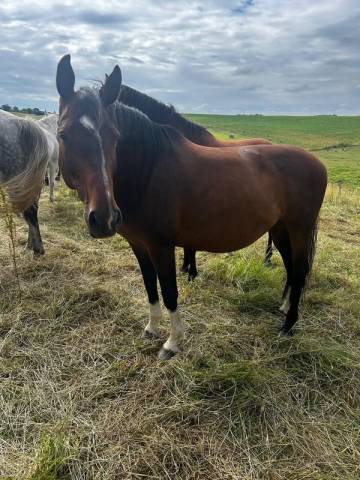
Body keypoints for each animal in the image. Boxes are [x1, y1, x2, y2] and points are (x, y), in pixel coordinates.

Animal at [55, 56, 326, 358]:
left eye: (115, 136)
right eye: (63, 135)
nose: (103, 219)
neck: (148, 172)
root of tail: (317, 163)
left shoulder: (161, 246)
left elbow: (169, 291)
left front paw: (172, 342)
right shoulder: (138, 244)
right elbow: (150, 286)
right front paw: (151, 329)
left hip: (300, 229)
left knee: (300, 270)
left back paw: (289, 325)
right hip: (280, 228)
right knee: (291, 267)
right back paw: (285, 308)